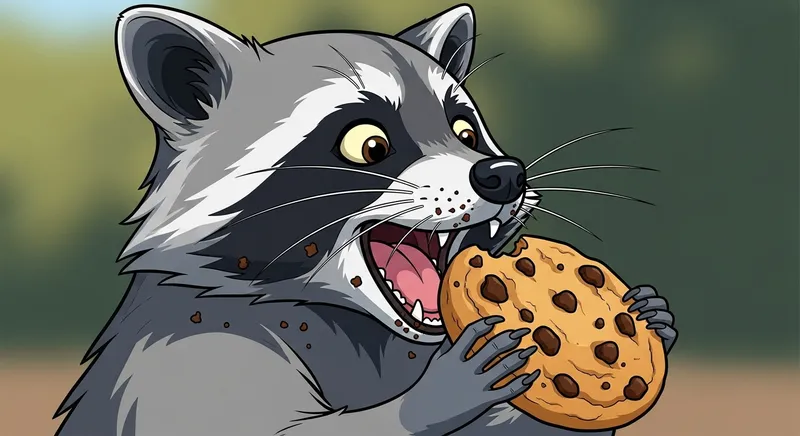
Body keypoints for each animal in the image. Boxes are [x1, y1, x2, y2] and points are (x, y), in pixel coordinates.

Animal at [54, 4, 677, 436]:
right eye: (368, 145)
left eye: (466, 130)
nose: (504, 175)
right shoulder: (187, 355)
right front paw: (431, 398)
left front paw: (647, 317)